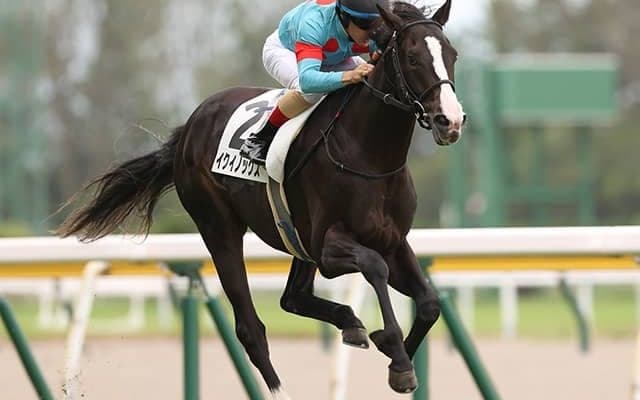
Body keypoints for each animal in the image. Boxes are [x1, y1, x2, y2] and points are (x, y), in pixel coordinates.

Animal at [57, 1, 465, 397]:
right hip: (219, 229)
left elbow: (429, 304)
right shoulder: (330, 247)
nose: (450, 120)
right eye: (412, 57)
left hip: (295, 239)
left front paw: (397, 358)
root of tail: (190, 126)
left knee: (292, 298)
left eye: (452, 54)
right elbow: (374, 267)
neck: (369, 155)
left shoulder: (392, 241)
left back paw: (349, 322)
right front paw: (394, 349)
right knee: (250, 328)